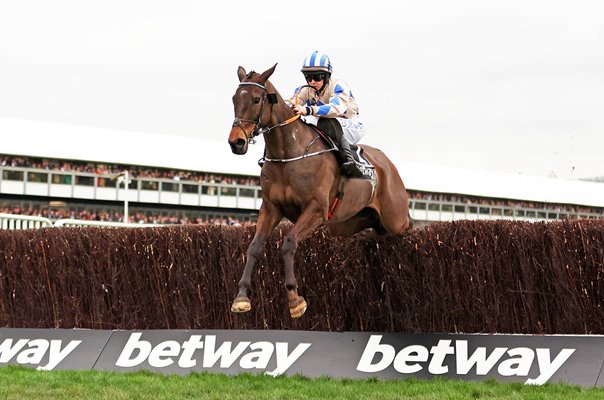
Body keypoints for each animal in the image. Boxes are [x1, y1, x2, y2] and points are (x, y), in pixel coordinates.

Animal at [226, 63, 410, 318]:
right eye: (234, 98)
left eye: (255, 99)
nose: (236, 142)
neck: (288, 152)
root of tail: (388, 165)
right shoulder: (271, 208)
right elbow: (254, 247)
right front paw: (241, 297)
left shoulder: (316, 210)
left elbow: (289, 243)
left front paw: (295, 300)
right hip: (353, 224)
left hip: (395, 219)